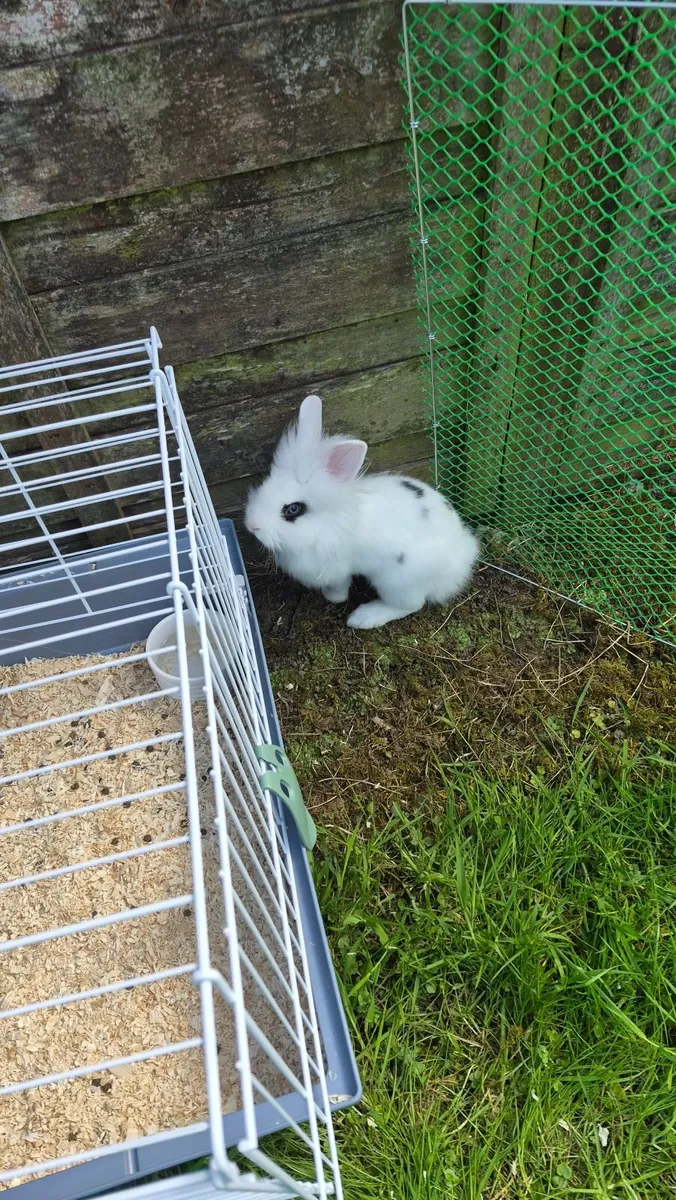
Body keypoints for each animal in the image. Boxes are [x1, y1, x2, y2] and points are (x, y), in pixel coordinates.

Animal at [244, 394, 479, 629]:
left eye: (293, 509)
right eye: (265, 485)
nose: (251, 525)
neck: (324, 524)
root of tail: (462, 555)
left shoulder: (336, 570)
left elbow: (339, 588)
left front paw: (333, 598)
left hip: (396, 582)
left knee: (411, 605)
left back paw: (364, 617)